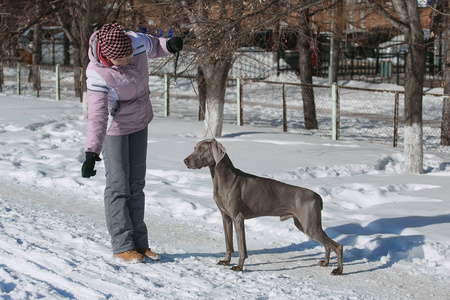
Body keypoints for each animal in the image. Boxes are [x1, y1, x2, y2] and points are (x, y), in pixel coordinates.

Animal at [182, 138, 342, 274]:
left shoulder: (237, 218)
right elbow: (228, 243)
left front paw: (239, 267)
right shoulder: (226, 217)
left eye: (202, 149)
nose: (185, 161)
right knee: (327, 244)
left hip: (310, 225)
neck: (223, 178)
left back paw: (338, 270)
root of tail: (317, 196)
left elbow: (241, 247)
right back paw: (326, 263)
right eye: (194, 148)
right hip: (303, 224)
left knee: (337, 246)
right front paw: (226, 261)